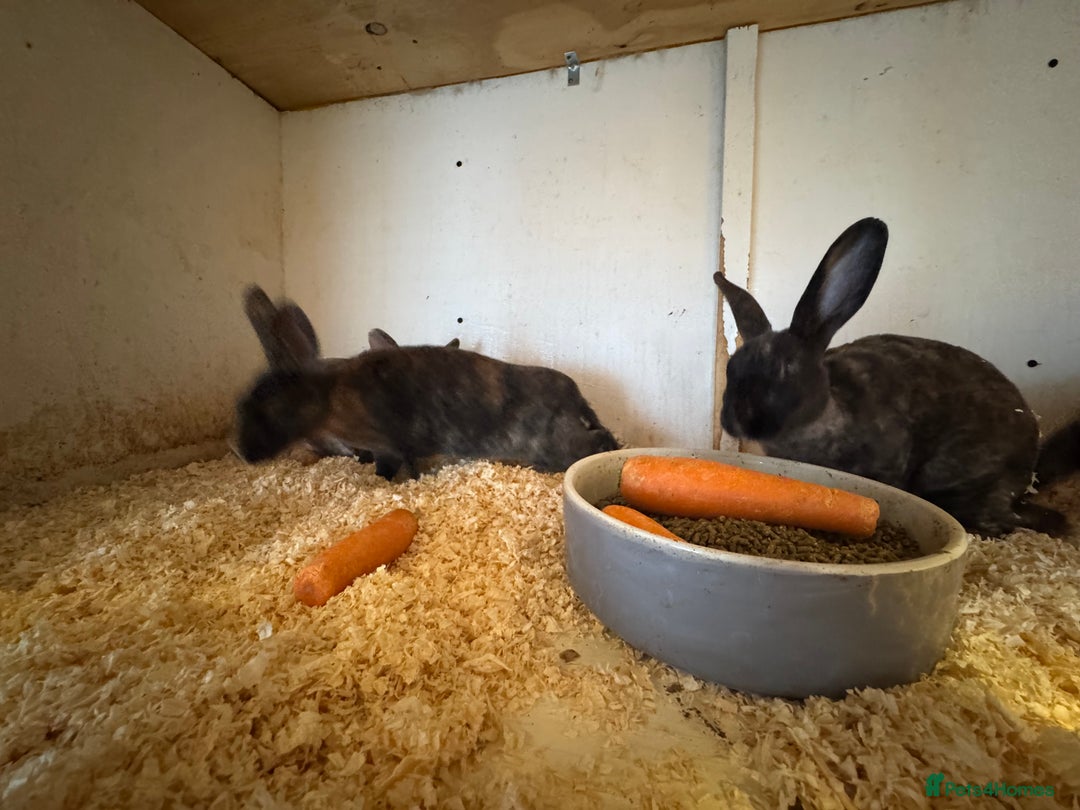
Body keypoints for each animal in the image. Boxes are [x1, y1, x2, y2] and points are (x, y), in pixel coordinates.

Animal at [237, 287, 618, 479]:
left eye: (270, 409)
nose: (242, 453)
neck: (330, 397)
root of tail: (576, 400)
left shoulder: (390, 444)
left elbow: (396, 465)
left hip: (556, 443)